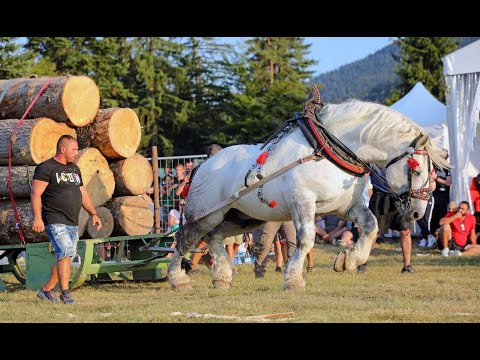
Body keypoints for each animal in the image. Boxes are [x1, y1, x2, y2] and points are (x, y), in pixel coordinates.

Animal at [169, 98, 450, 290]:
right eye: (416, 169)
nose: (418, 212)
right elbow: (306, 239)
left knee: (214, 237)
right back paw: (177, 278)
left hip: (243, 217)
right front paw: (294, 278)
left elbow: (370, 226)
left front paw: (349, 260)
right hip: (206, 213)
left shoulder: (346, 207)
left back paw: (222, 276)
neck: (327, 150)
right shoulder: (302, 201)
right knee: (187, 238)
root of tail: (202, 165)